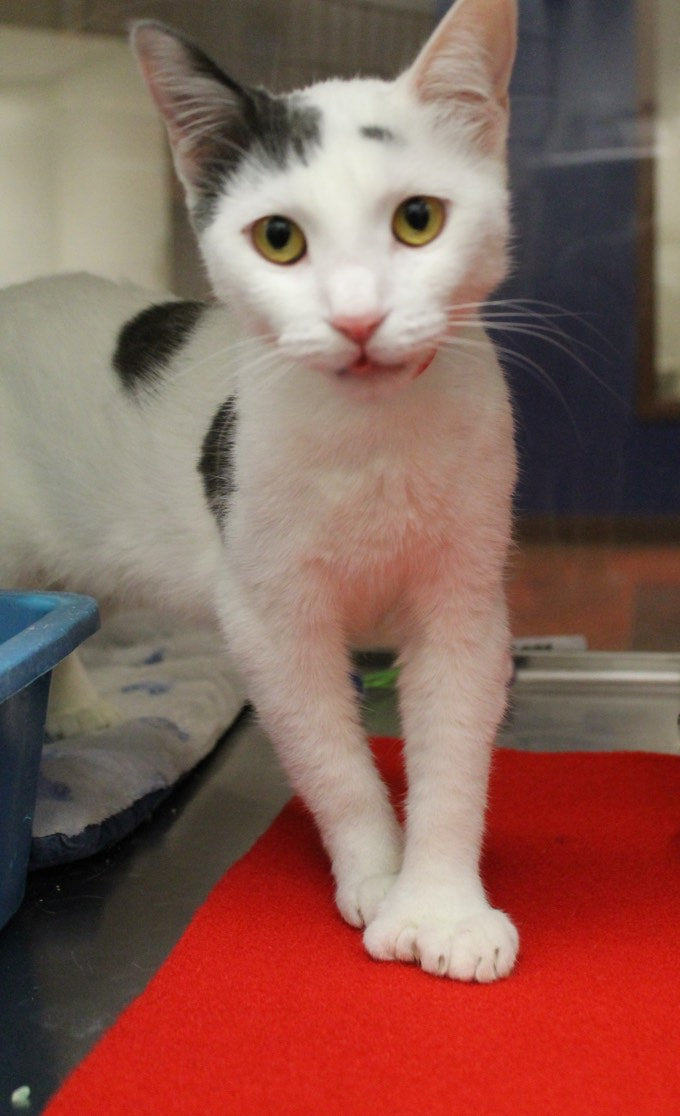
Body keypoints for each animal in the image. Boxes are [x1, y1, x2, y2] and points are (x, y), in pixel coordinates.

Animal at [0, 0, 518, 977]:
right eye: (279, 238)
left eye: (418, 221)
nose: (358, 318)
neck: (371, 447)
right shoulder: (269, 616)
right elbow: (332, 760)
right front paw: (375, 875)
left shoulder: (464, 597)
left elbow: (455, 758)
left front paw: (441, 908)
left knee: (65, 607)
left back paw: (76, 706)